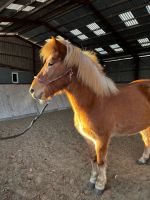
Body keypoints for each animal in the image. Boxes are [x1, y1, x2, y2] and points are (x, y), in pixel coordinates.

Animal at [29, 36, 150, 195]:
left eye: (51, 63)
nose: (32, 90)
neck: (95, 101)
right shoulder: (88, 139)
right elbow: (93, 159)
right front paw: (92, 181)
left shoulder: (102, 139)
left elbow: (101, 162)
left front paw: (100, 185)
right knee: (147, 140)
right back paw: (143, 159)